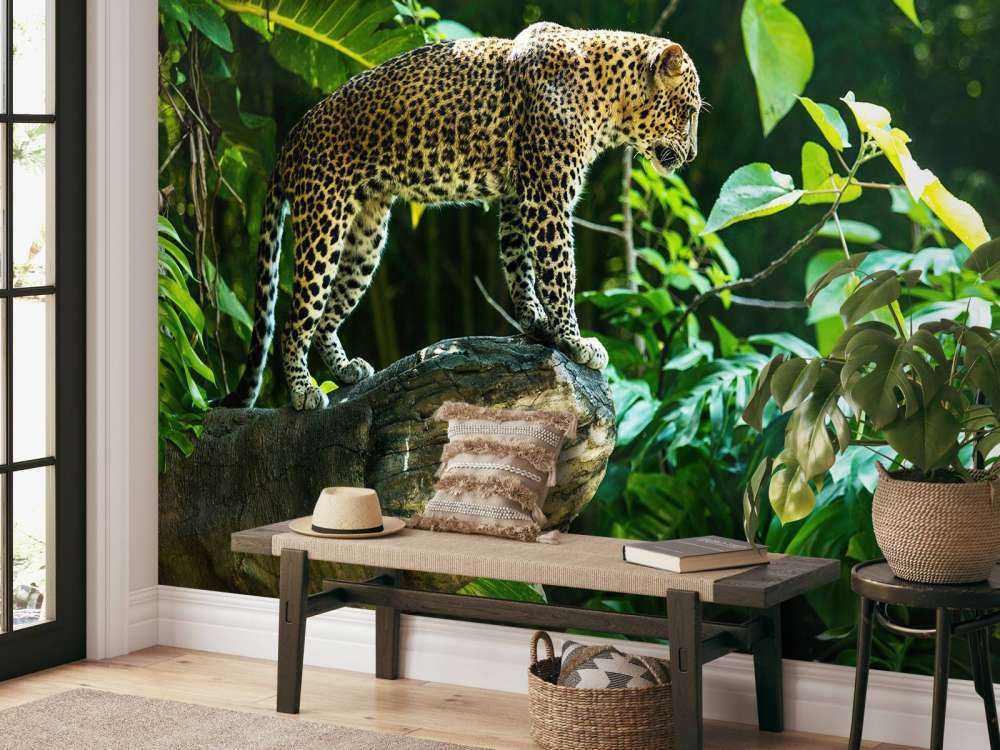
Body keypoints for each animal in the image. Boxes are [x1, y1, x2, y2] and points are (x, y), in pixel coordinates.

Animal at [220, 22, 702, 410]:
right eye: (690, 111)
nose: (694, 155)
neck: (608, 98)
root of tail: (291, 137)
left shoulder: (519, 196)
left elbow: (519, 265)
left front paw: (537, 325)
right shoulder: (546, 199)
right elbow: (559, 273)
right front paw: (575, 341)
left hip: (366, 236)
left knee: (325, 316)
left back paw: (345, 371)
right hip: (324, 223)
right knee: (294, 319)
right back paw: (303, 391)